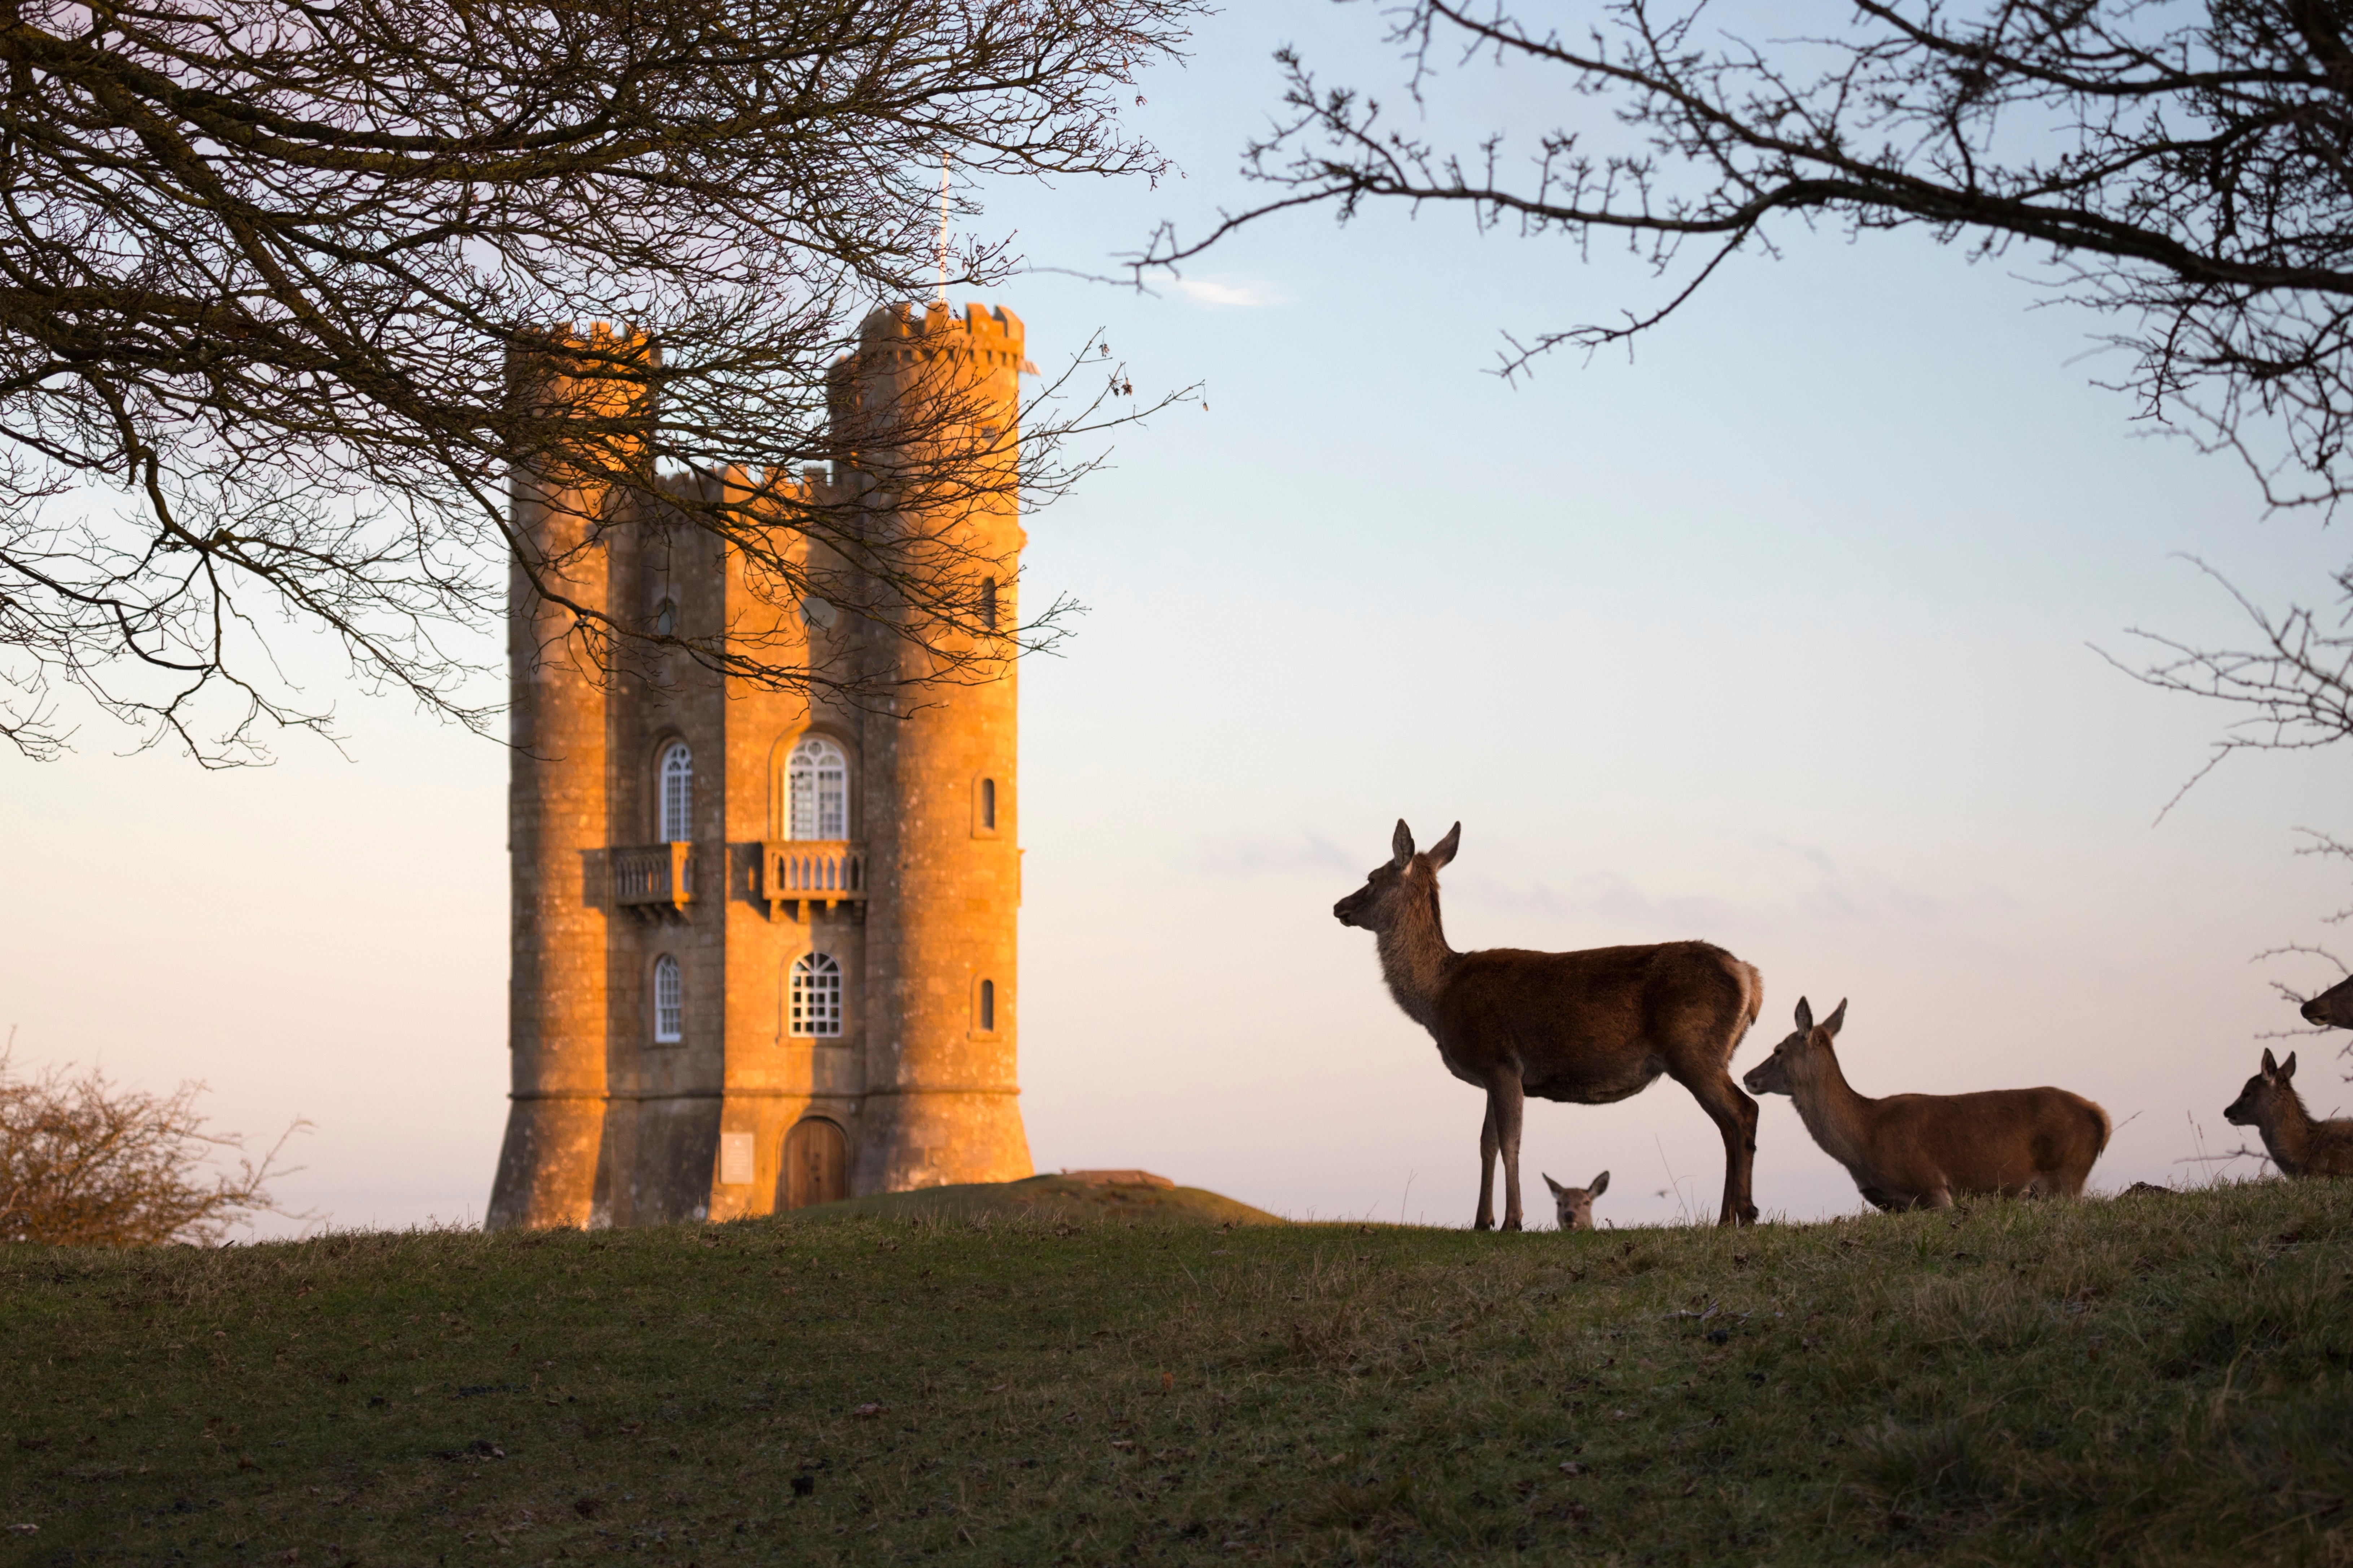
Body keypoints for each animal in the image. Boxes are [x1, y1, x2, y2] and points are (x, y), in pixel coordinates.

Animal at [1741, 997, 2110, 1209]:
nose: (1748, 1076)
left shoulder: (1931, 1185)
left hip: (2064, 1174)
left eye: (1778, 1050)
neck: (1865, 1138)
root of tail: (2101, 1117)